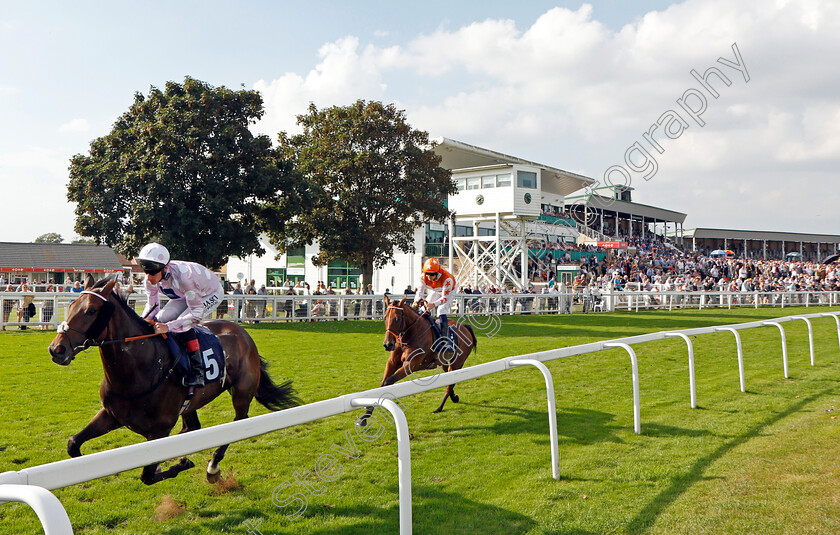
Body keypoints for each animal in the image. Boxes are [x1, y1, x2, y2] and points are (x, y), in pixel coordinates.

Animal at [47, 276, 300, 486]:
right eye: (71, 305)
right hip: (191, 402)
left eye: (91, 310)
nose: (56, 349)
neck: (138, 369)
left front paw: (181, 463)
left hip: (241, 393)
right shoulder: (112, 414)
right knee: (192, 427)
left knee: (237, 423)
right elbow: (73, 443)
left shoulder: (159, 430)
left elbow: (148, 476)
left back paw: (212, 467)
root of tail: (243, 333)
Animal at [354, 294, 476, 428]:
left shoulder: (411, 364)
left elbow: (388, 382)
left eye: (397, 319)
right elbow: (382, 384)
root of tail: (465, 327)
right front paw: (365, 417)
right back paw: (453, 397)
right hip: (444, 362)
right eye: (385, 317)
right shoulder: (392, 363)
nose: (387, 344)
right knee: (449, 380)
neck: (410, 335)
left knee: (450, 384)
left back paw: (439, 407)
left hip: (457, 363)